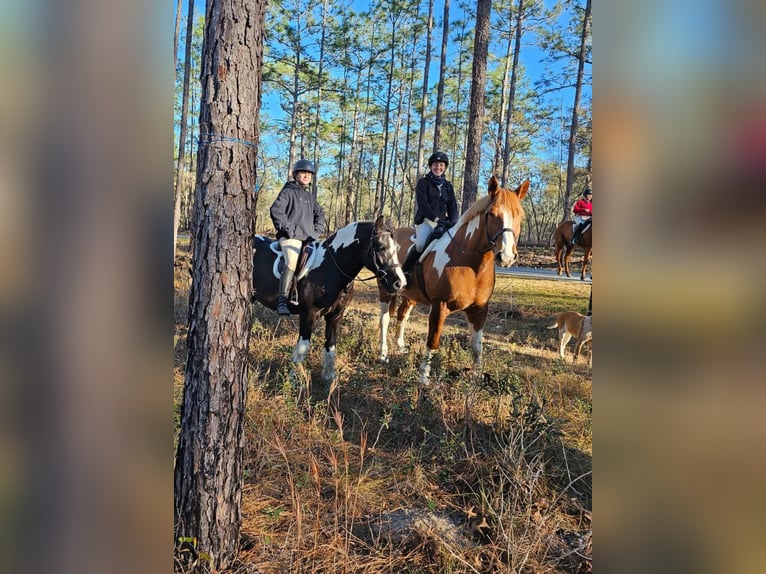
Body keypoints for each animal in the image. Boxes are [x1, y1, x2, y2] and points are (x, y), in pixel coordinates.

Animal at [254, 216, 408, 388]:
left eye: (397, 247)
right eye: (381, 247)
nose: (400, 283)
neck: (330, 267)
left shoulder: (335, 316)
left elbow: (331, 345)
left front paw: (329, 378)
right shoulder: (308, 315)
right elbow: (302, 348)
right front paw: (293, 381)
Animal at [376, 176, 528, 382]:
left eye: (520, 215)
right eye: (491, 214)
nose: (506, 257)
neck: (470, 264)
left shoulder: (479, 309)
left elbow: (477, 346)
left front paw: (476, 378)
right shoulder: (439, 306)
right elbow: (433, 340)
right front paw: (423, 377)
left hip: (411, 296)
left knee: (402, 315)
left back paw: (401, 348)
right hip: (385, 291)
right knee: (384, 319)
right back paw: (383, 355)